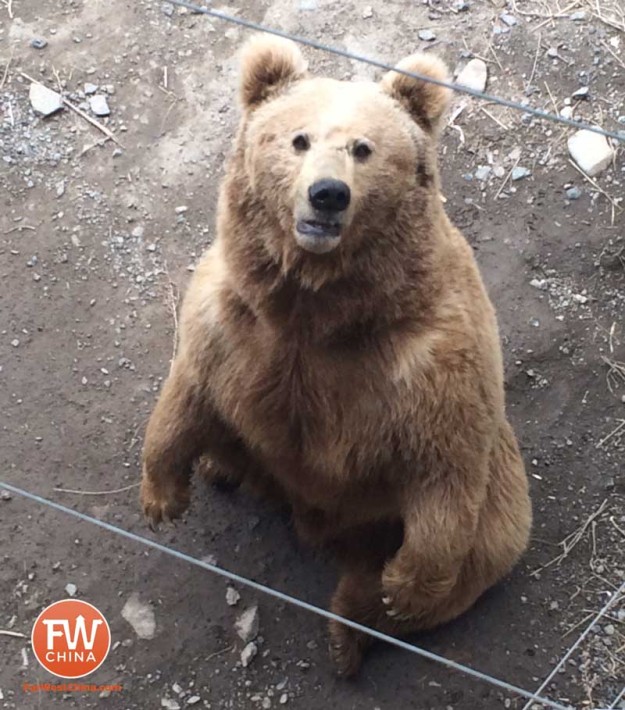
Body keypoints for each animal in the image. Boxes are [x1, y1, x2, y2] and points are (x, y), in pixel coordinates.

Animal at [141, 33, 532, 680]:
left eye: (363, 148)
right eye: (298, 138)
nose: (327, 195)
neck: (319, 309)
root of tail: (318, 519)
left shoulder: (432, 360)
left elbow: (446, 466)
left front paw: (404, 588)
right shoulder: (235, 323)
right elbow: (187, 392)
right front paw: (163, 497)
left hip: (484, 494)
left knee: (484, 546)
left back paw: (351, 630)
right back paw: (221, 470)